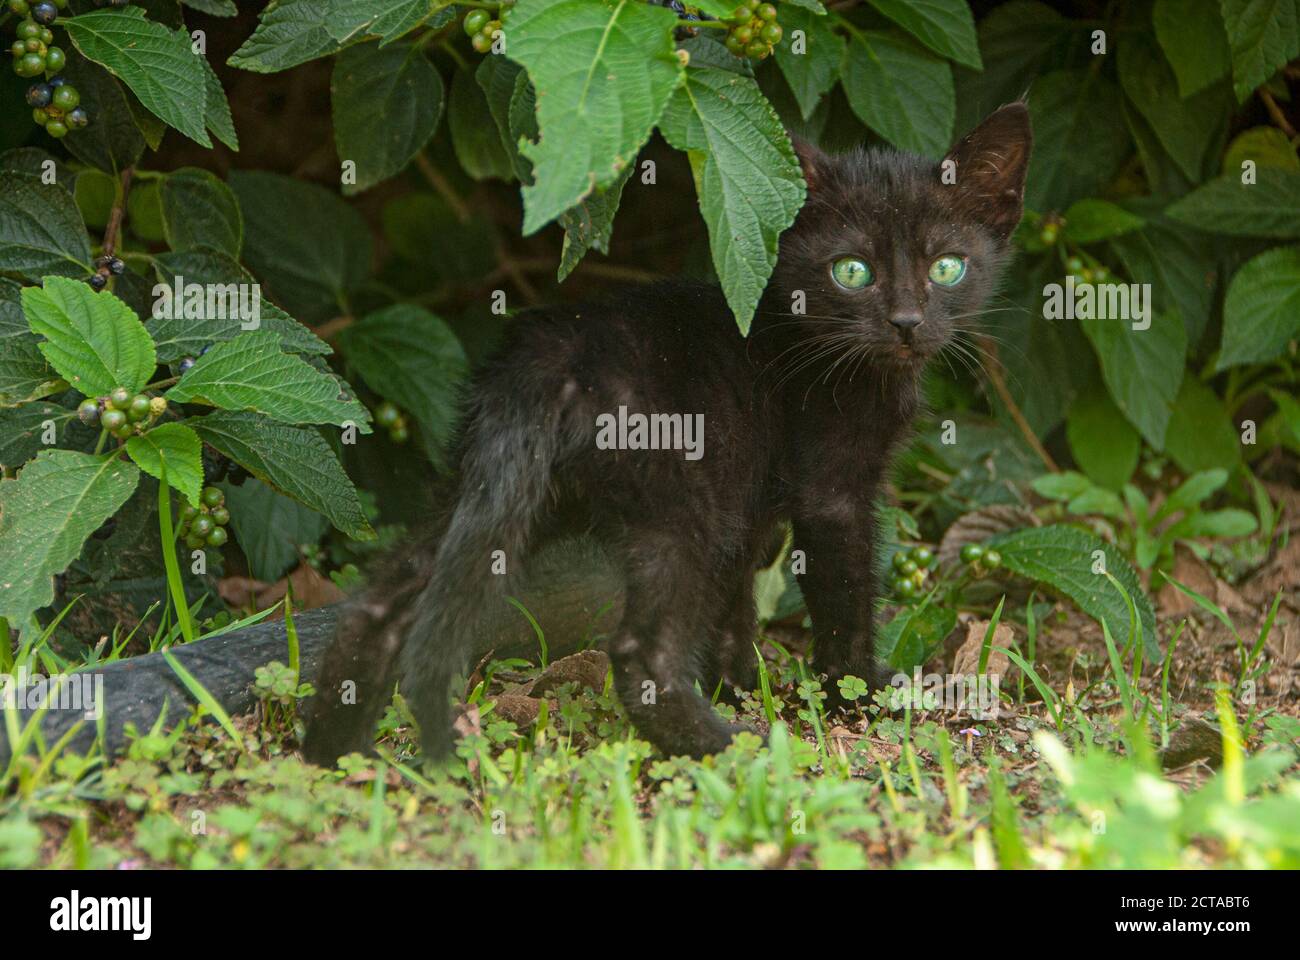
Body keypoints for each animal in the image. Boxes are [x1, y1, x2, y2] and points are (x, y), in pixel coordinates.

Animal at [301, 104, 1024, 764]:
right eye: (852, 272)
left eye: (947, 268)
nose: (906, 322)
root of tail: (552, 356)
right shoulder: (831, 492)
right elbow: (843, 597)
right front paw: (860, 694)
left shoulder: (746, 504)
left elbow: (733, 605)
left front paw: (742, 685)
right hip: (676, 507)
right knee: (637, 651)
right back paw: (728, 749)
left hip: (489, 488)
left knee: (378, 604)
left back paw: (333, 756)